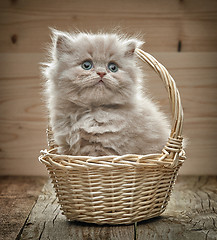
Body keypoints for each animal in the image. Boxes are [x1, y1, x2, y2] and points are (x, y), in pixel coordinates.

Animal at [42, 29, 170, 157]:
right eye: (86, 65)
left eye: (113, 67)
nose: (101, 73)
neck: (92, 112)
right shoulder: (66, 147)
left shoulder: (103, 151)